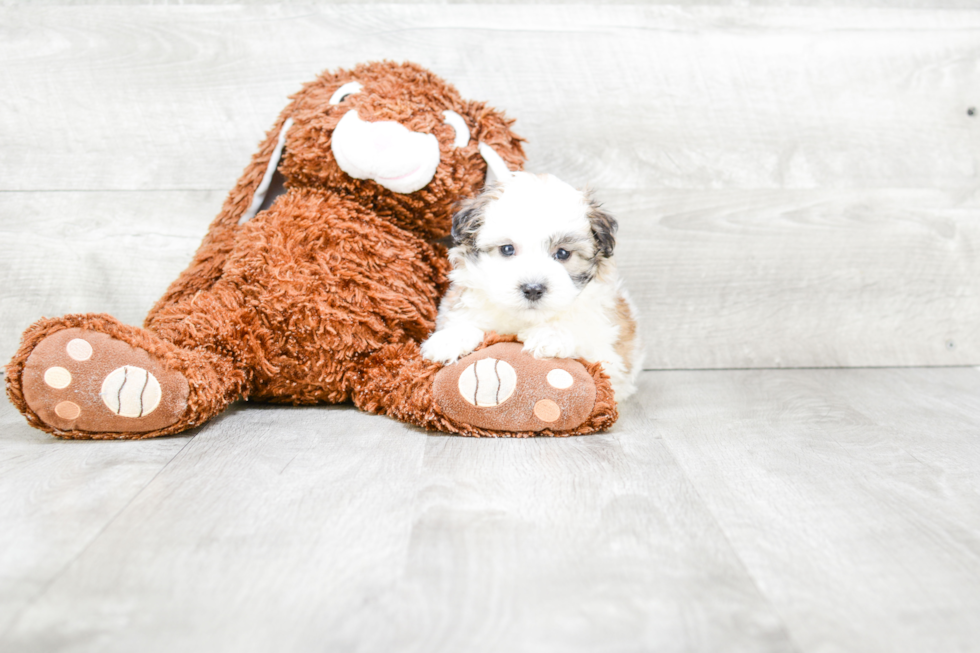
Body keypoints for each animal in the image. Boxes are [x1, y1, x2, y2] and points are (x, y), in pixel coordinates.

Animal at [422, 171, 644, 400]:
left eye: (562, 253)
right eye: (507, 249)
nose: (533, 289)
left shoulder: (609, 354)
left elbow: (584, 334)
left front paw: (550, 335)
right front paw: (451, 338)